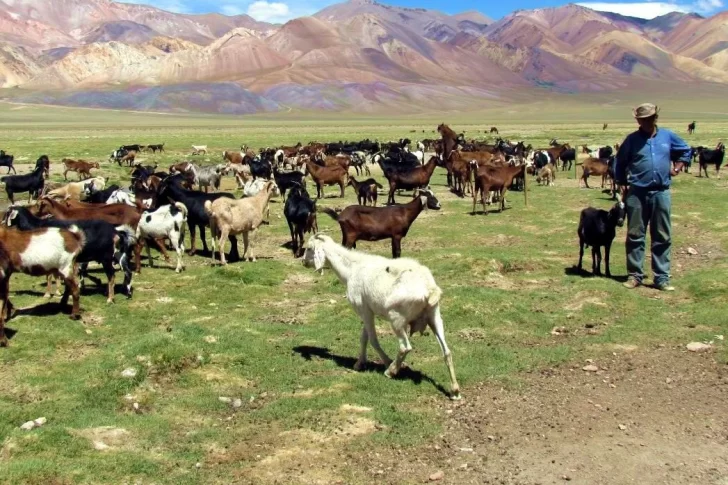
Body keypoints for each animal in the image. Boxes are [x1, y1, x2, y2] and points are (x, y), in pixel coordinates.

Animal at [3, 205, 137, 302]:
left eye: (7, 213)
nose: (2, 224)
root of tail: (115, 231)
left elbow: (49, 276)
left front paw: (48, 294)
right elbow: (55, 275)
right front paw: (58, 292)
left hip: (106, 258)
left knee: (112, 275)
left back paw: (110, 298)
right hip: (119, 255)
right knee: (127, 272)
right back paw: (127, 293)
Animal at [302, 235, 460, 400]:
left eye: (309, 248)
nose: (303, 262)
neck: (351, 270)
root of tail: (430, 289)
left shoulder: (364, 310)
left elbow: (373, 340)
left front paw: (385, 361)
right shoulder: (367, 311)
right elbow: (364, 338)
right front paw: (359, 363)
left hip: (397, 318)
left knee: (405, 347)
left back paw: (391, 370)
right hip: (434, 316)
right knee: (447, 352)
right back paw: (455, 390)